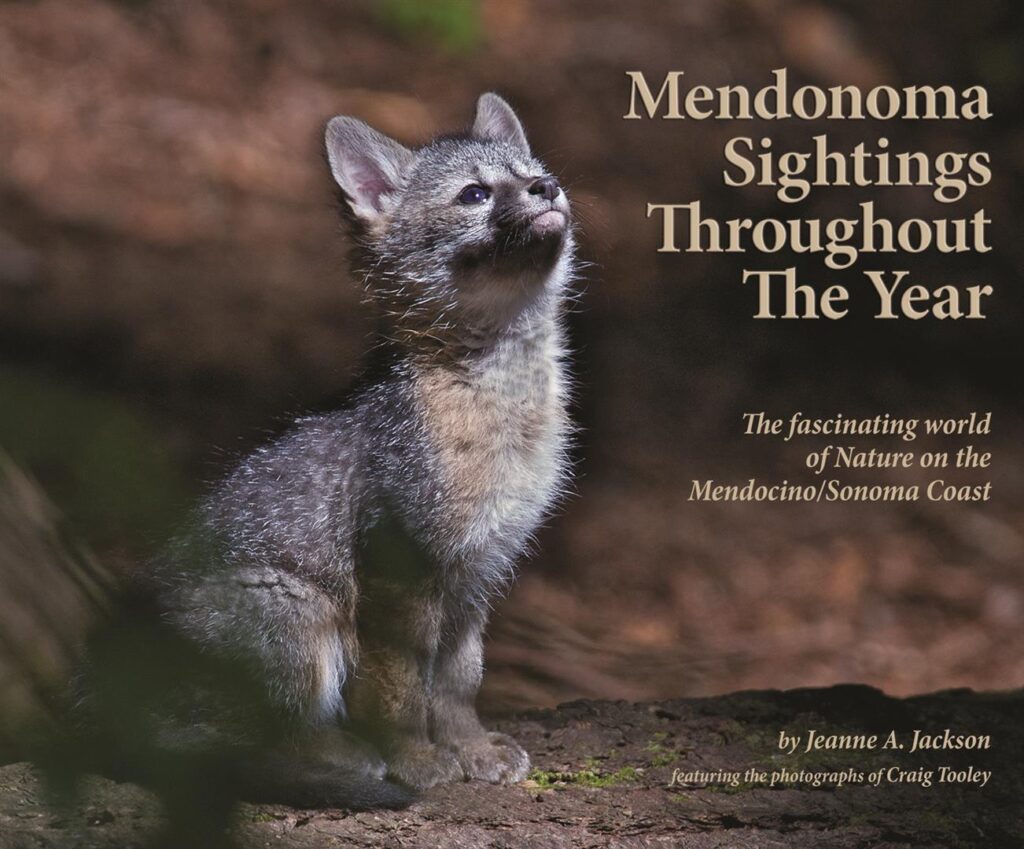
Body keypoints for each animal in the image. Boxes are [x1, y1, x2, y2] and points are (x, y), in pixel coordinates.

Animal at [88, 93, 576, 811]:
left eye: (532, 173)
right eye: (475, 194)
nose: (549, 186)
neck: (502, 405)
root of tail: (90, 705)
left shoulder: (477, 570)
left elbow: (459, 683)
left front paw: (471, 749)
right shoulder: (400, 571)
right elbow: (400, 691)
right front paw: (416, 760)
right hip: (298, 609)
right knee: (244, 746)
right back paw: (344, 755)